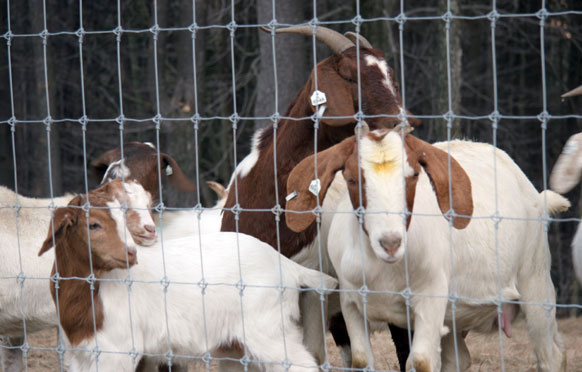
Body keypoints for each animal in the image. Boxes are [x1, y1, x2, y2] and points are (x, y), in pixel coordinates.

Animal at [38, 184, 338, 372]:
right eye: (93, 224)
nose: (131, 254)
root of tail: (286, 266)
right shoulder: (83, 353)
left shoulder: (118, 349)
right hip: (237, 343)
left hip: (270, 328)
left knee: (302, 364)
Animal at [288, 125, 572, 372]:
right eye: (351, 179)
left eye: (413, 175)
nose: (390, 243)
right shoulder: (351, 303)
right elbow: (361, 359)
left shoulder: (431, 298)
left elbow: (421, 362)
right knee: (459, 359)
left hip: (535, 280)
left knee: (551, 354)